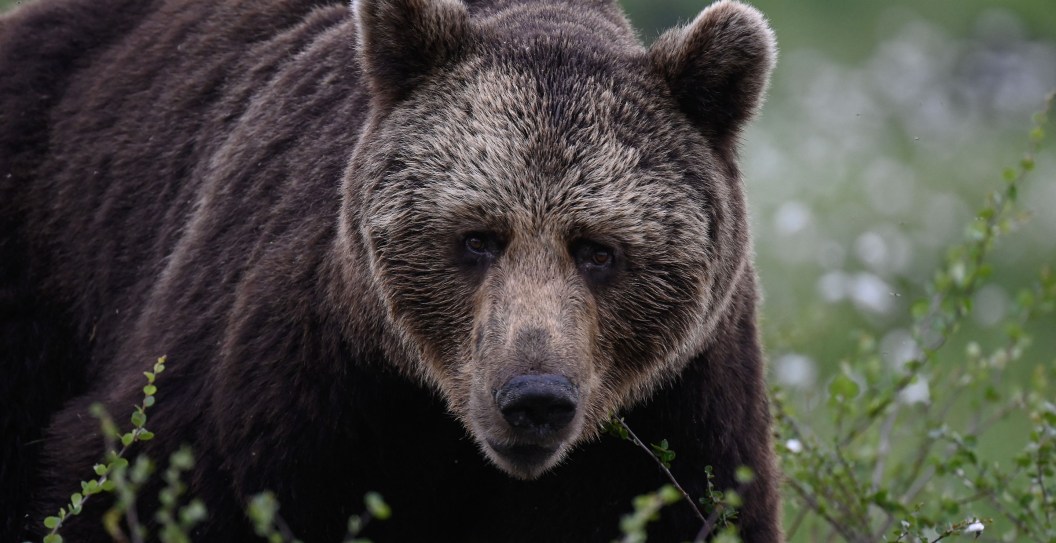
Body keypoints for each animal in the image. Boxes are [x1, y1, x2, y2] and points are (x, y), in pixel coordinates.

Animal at [0, 0, 780, 540]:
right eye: (478, 237)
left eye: (598, 250)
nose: (534, 396)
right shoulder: (286, 377)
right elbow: (141, 477)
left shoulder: (681, 410)